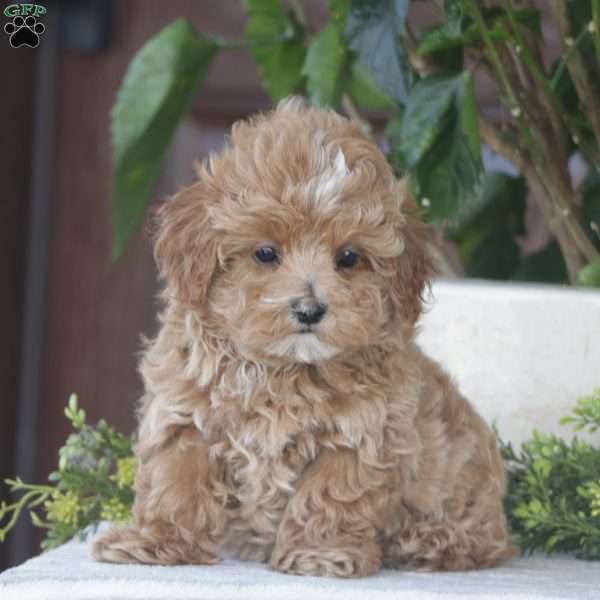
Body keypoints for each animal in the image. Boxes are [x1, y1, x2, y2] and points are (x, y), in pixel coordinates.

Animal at [92, 97, 516, 576]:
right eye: (265, 253)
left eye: (348, 258)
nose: (309, 309)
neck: (283, 369)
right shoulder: (185, 416)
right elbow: (175, 484)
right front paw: (153, 542)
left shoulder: (363, 433)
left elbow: (331, 493)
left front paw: (320, 553)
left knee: (478, 539)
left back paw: (428, 542)